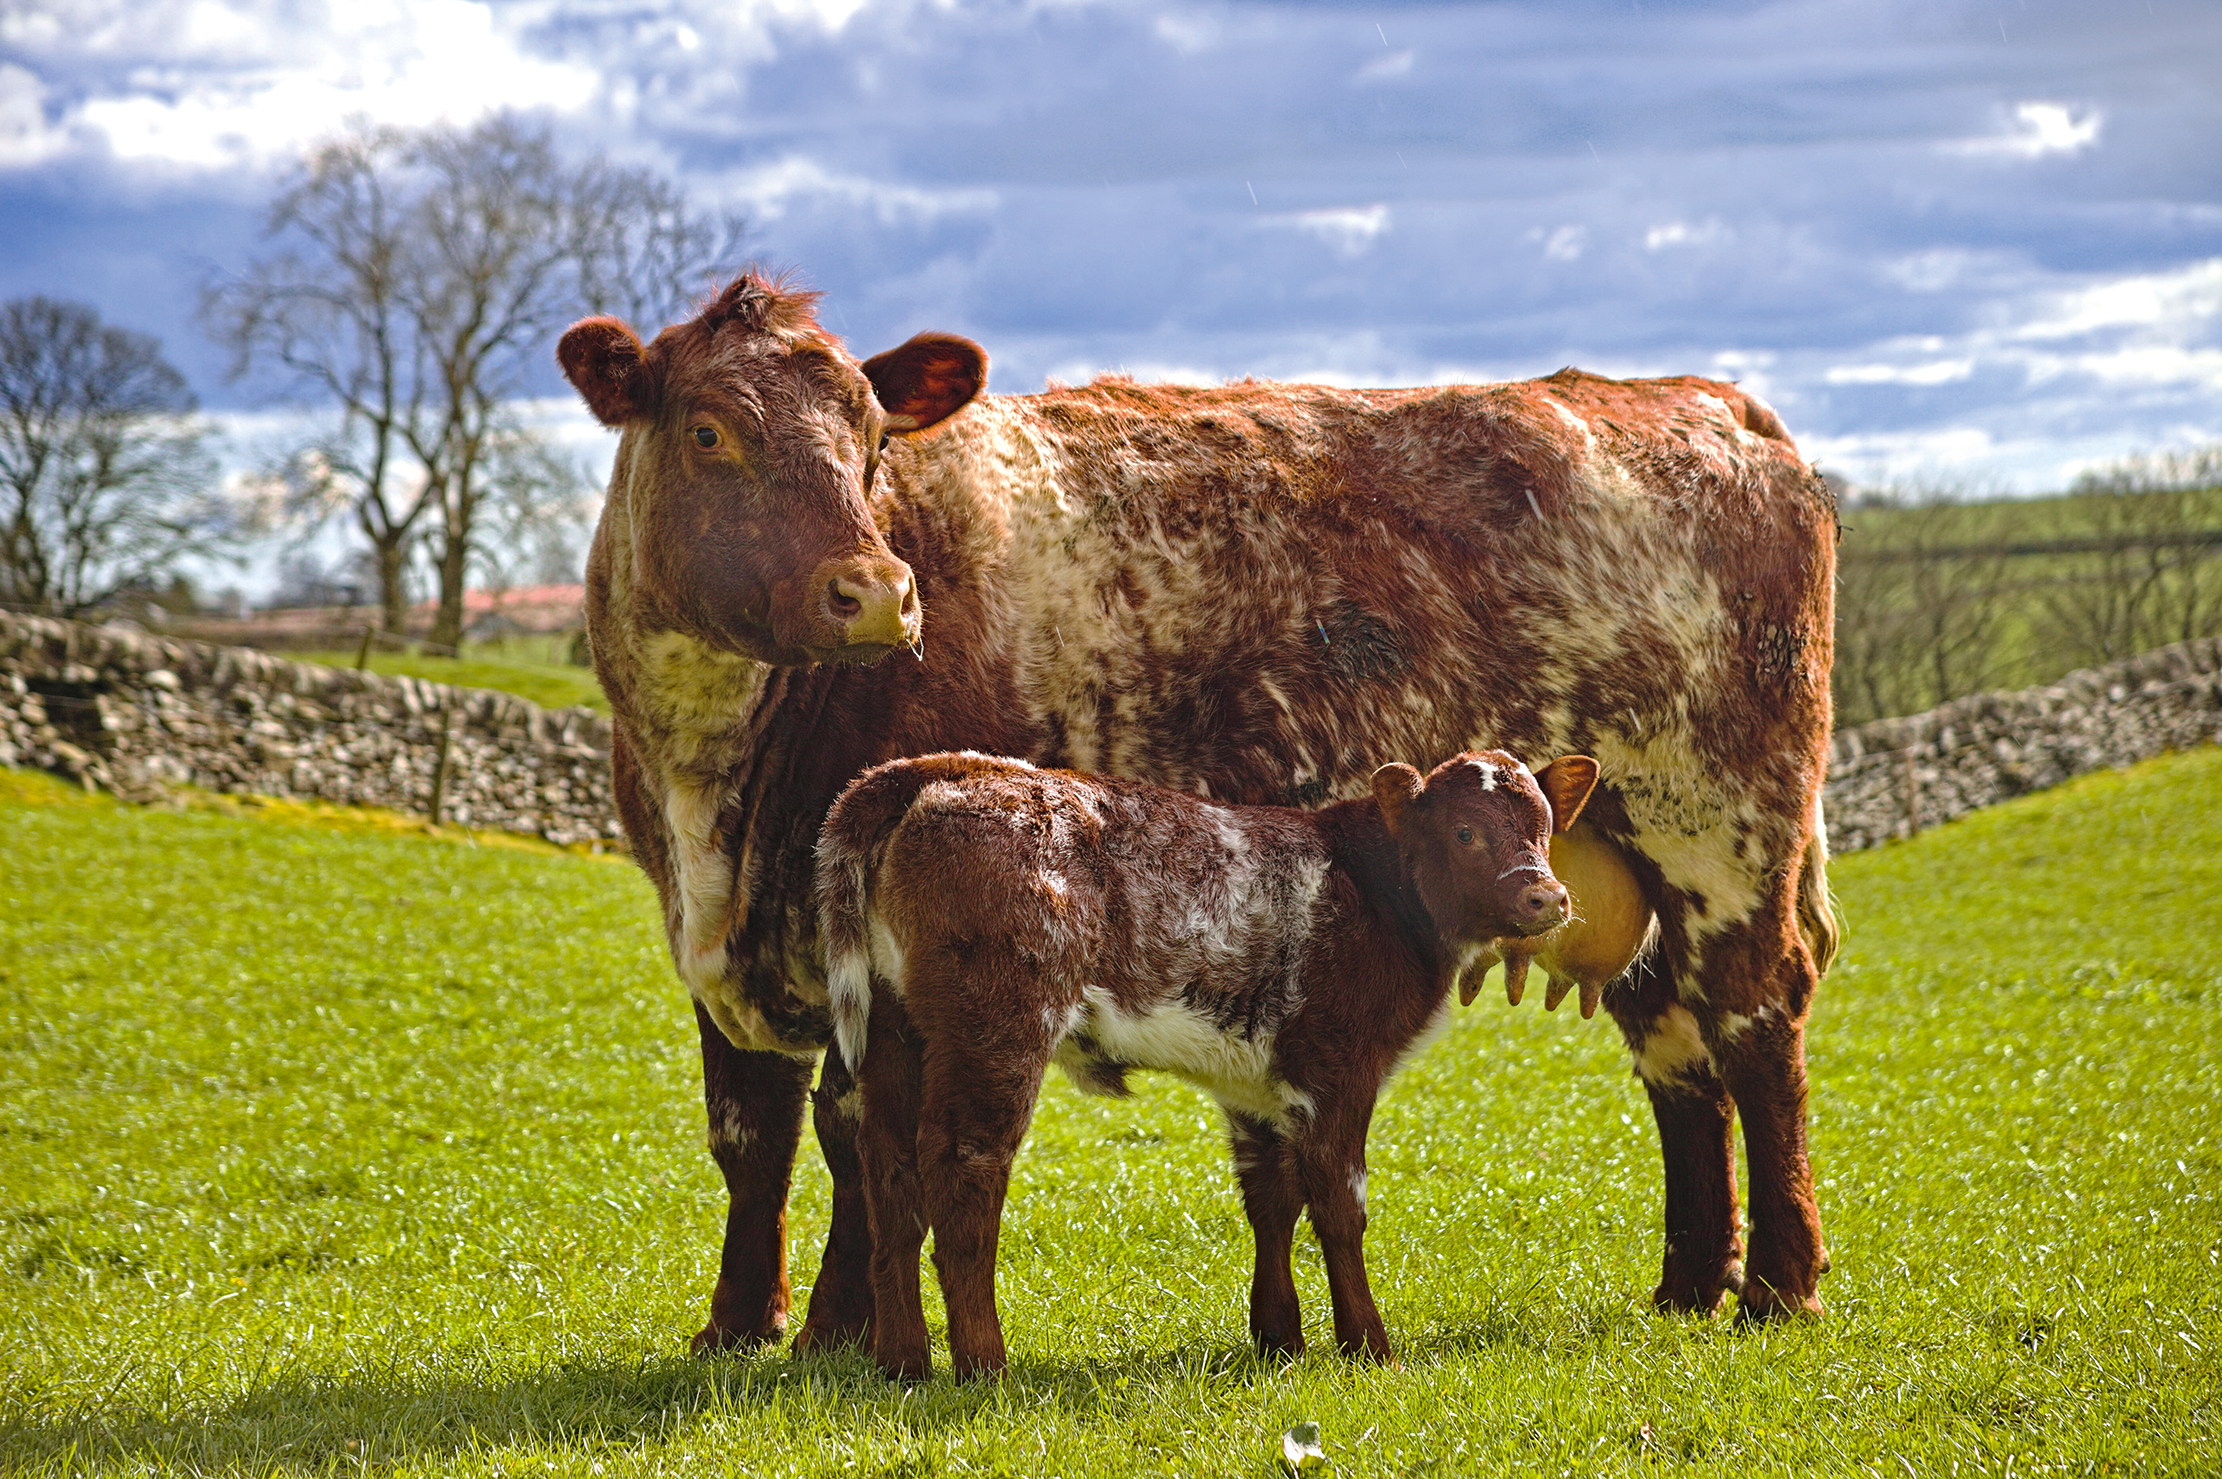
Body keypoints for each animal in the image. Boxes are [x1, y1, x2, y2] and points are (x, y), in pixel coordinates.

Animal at [817, 741, 1599, 1376]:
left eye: (1544, 829)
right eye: (1466, 831)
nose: (1547, 896)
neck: (1373, 889)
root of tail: (946, 768)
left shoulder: (1255, 1085)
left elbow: (1272, 1199)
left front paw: (1279, 1340)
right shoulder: (1341, 1067)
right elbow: (1339, 1206)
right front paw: (1369, 1346)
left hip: (894, 1031)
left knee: (889, 1173)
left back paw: (904, 1362)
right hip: (997, 1026)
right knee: (964, 1168)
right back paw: (984, 1364)